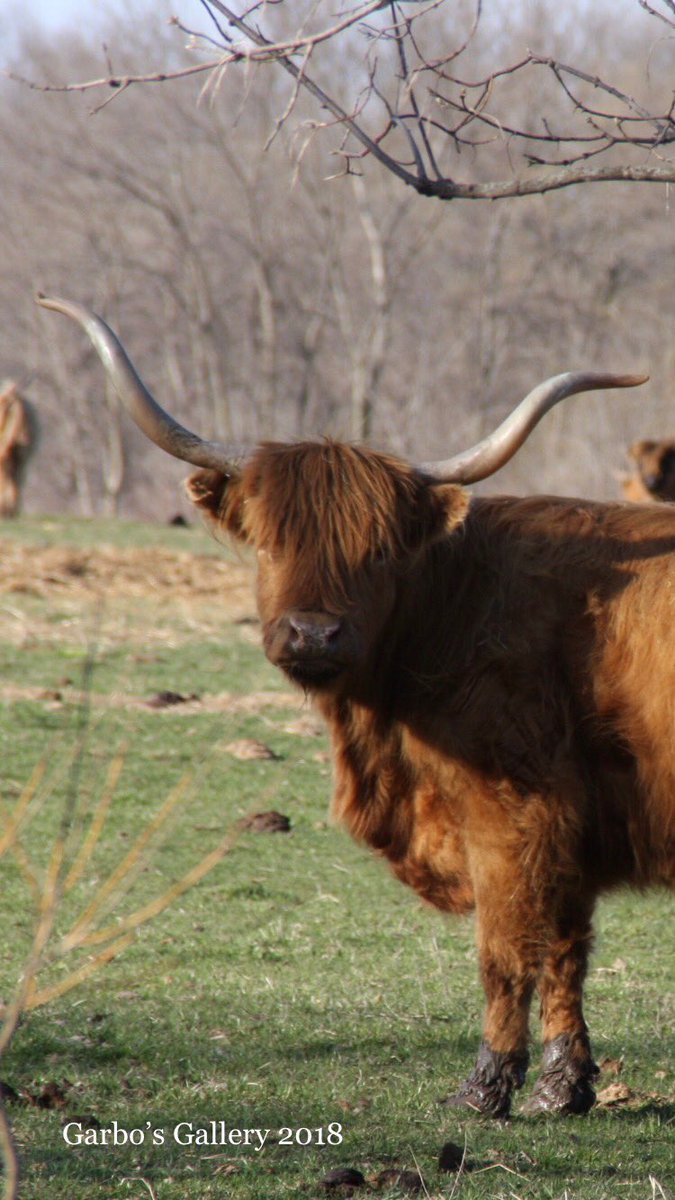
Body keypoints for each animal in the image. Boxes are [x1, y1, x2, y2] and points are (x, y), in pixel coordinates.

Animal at [37, 295, 673, 1120]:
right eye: (269, 544)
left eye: (376, 552)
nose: (313, 633)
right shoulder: (566, 824)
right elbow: (564, 949)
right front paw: (560, 1088)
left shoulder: (513, 811)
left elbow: (503, 949)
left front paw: (484, 1087)